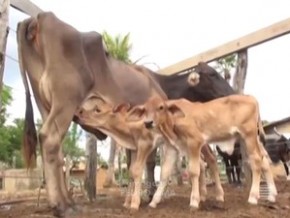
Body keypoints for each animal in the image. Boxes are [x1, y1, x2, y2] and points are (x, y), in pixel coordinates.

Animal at [76, 93, 224, 209]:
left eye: (97, 109)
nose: (78, 113)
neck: (128, 129)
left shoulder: (145, 144)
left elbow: (137, 171)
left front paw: (134, 203)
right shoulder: (134, 148)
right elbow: (131, 172)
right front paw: (127, 202)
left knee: (211, 159)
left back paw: (218, 196)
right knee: (201, 164)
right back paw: (203, 195)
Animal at [128, 94, 278, 209]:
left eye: (161, 107)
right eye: (145, 109)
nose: (148, 123)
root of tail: (251, 98)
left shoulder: (195, 142)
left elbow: (194, 171)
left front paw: (194, 201)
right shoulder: (172, 148)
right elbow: (165, 173)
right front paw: (154, 201)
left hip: (249, 135)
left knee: (256, 160)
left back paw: (253, 197)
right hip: (246, 139)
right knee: (264, 160)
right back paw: (272, 196)